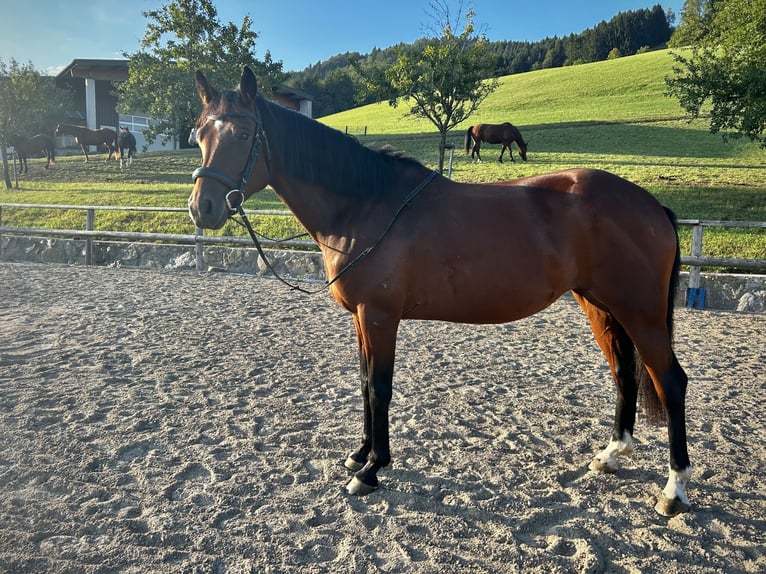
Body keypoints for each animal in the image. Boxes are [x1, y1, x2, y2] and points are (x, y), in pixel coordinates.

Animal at [188, 66, 692, 517]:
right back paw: (611, 454)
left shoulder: (379, 315)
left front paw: (372, 471)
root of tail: (650, 204)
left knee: (670, 382)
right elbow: (363, 382)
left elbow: (379, 388)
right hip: (600, 306)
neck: (366, 204)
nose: (202, 208)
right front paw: (360, 454)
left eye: (242, 134)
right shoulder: (361, 318)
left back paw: (674, 489)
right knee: (624, 374)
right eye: (199, 134)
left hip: (641, 314)